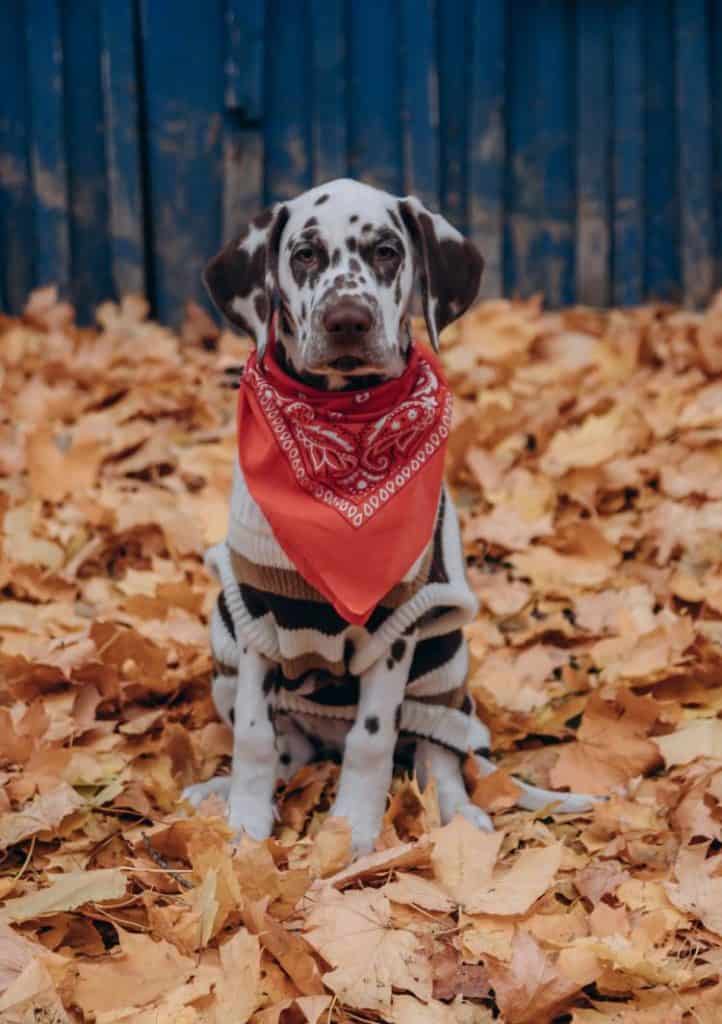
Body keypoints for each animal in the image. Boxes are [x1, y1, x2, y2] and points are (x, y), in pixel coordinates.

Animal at [183, 180, 593, 851]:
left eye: (385, 251)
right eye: (304, 255)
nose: (347, 320)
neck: (345, 426)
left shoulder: (398, 625)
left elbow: (372, 739)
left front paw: (351, 830)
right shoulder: (257, 617)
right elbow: (254, 735)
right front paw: (244, 825)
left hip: (443, 660)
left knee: (438, 758)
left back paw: (462, 816)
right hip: (223, 629)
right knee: (290, 750)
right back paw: (216, 791)